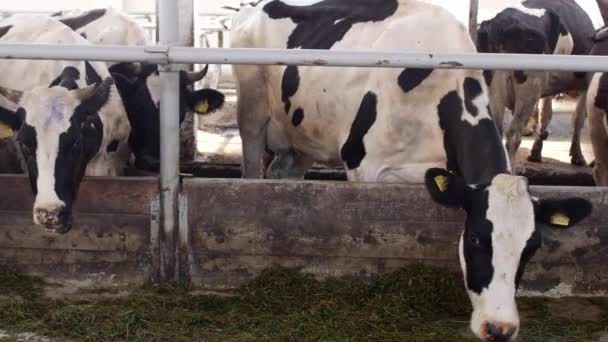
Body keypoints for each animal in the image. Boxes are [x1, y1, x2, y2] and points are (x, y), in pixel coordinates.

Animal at [478, 0, 596, 166]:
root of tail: (504, 23)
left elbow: (546, 115)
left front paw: (535, 153)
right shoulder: (587, 82)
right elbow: (578, 118)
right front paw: (577, 156)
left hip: (493, 85)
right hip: (529, 91)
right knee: (514, 136)